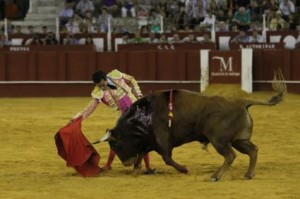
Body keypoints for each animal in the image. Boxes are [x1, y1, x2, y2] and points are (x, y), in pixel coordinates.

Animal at [95, 72, 286, 182]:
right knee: (253, 150)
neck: (144, 115)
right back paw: (248, 174)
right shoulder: (149, 142)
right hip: (239, 139)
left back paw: (215, 176)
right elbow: (142, 154)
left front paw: (184, 169)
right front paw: (136, 170)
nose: (126, 163)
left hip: (219, 140)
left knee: (230, 155)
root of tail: (242, 101)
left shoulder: (162, 141)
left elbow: (167, 158)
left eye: (115, 143)